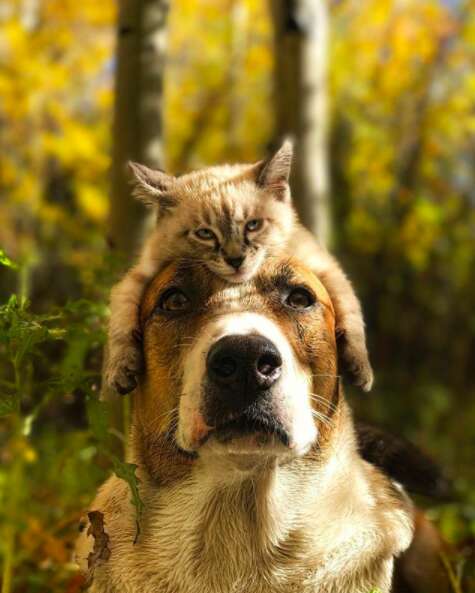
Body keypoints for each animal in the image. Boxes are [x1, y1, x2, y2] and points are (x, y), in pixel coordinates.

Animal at [106, 140, 374, 394]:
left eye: (253, 225)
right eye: (205, 234)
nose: (236, 260)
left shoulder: (322, 265)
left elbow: (351, 309)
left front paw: (360, 367)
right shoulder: (141, 273)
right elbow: (120, 314)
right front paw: (119, 368)